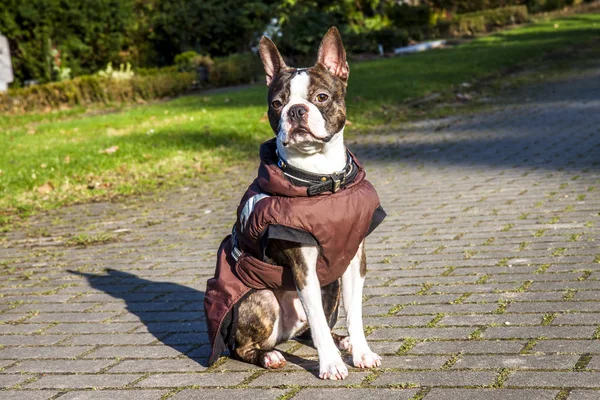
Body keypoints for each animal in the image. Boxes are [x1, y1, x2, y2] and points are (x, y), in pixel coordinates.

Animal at [204, 26, 386, 380]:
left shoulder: (353, 261)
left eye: (321, 97)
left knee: (311, 331)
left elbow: (354, 314)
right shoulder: (303, 268)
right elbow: (317, 320)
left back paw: (340, 341)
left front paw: (361, 352)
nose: (296, 110)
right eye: (277, 103)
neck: (323, 181)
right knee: (245, 347)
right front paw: (331, 365)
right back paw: (270, 356)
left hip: (331, 286)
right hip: (262, 297)